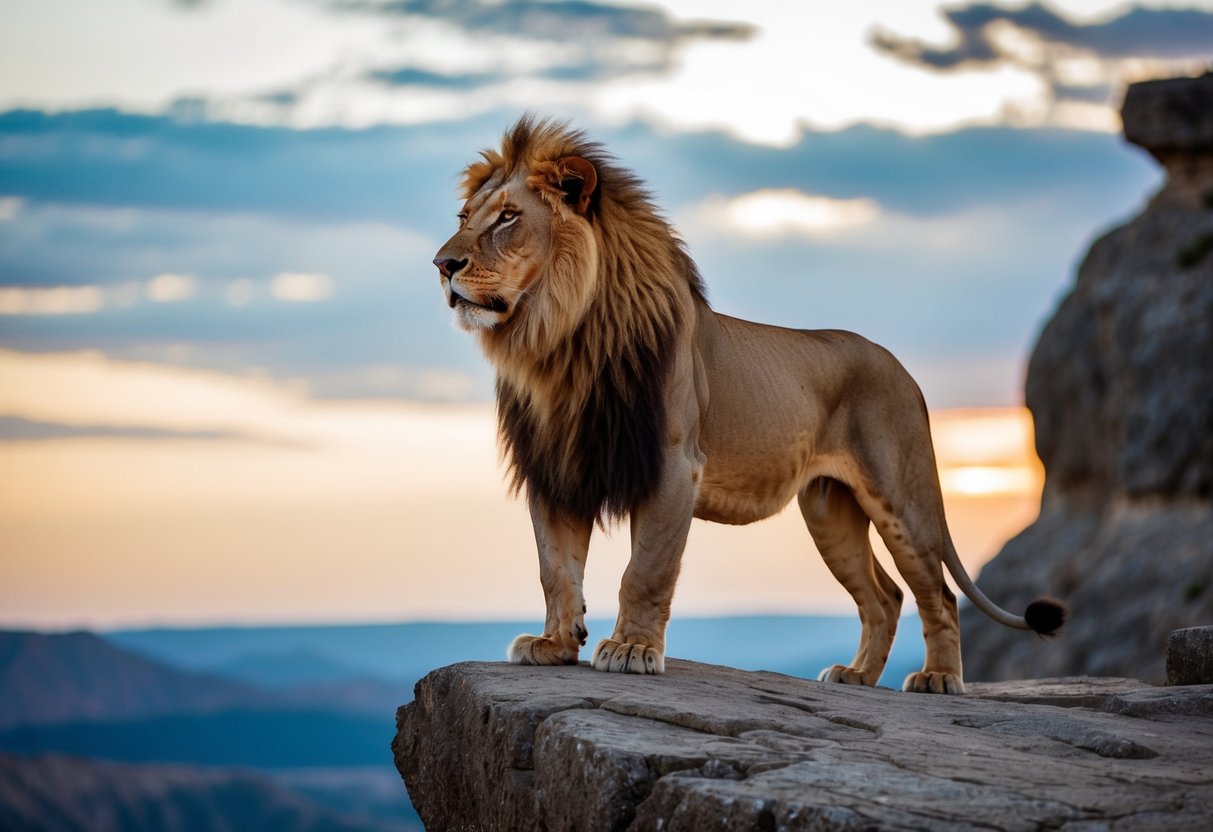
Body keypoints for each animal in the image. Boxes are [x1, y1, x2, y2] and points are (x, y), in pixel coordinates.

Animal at [431, 114, 1067, 693]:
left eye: (508, 218)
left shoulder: (673, 466)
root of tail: (901, 369)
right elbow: (556, 568)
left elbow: (646, 570)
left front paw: (631, 649)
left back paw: (938, 678)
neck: (559, 341)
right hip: (829, 510)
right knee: (884, 595)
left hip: (901, 497)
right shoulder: (556, 468)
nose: (442, 265)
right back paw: (856, 676)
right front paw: (555, 645)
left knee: (938, 593)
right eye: (464, 219)